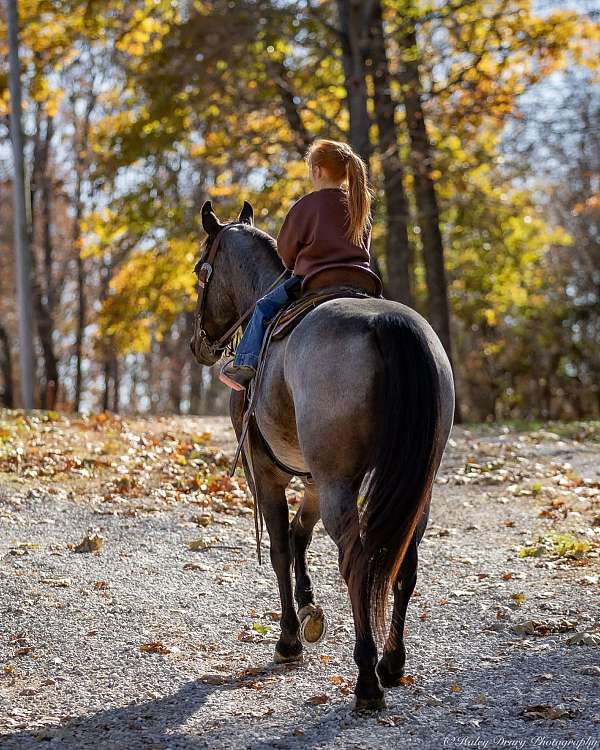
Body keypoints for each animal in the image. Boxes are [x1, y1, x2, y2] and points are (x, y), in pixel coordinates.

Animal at [190, 199, 455, 710]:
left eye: (199, 271)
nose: (199, 345)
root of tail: (385, 324)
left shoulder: (267, 474)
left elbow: (278, 545)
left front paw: (290, 638)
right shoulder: (311, 480)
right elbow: (300, 535)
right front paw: (310, 607)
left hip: (338, 484)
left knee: (357, 561)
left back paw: (367, 681)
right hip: (418, 486)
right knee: (403, 562)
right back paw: (392, 664)